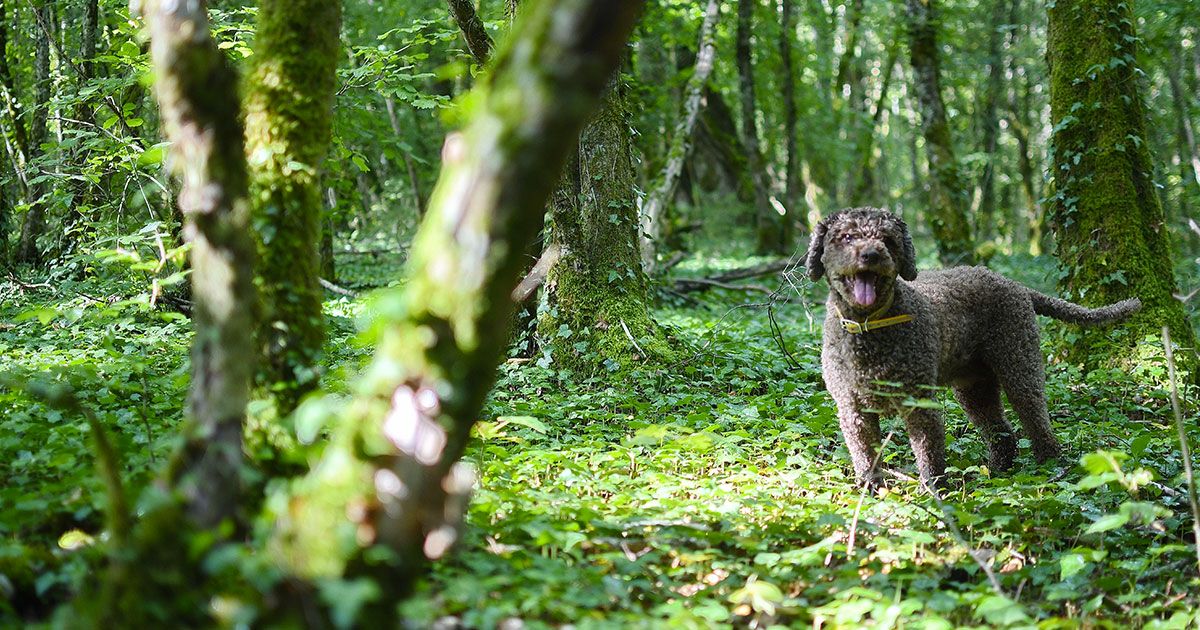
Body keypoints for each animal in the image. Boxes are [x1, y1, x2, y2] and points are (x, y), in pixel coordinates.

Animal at [806, 206, 1142, 487]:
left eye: (888, 240)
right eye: (847, 237)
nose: (871, 255)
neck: (869, 327)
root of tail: (1017, 286)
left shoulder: (920, 404)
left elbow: (929, 453)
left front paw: (936, 493)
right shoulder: (853, 409)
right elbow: (865, 455)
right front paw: (870, 488)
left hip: (1019, 366)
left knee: (1036, 422)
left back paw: (1050, 467)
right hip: (974, 387)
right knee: (1003, 434)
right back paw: (996, 473)